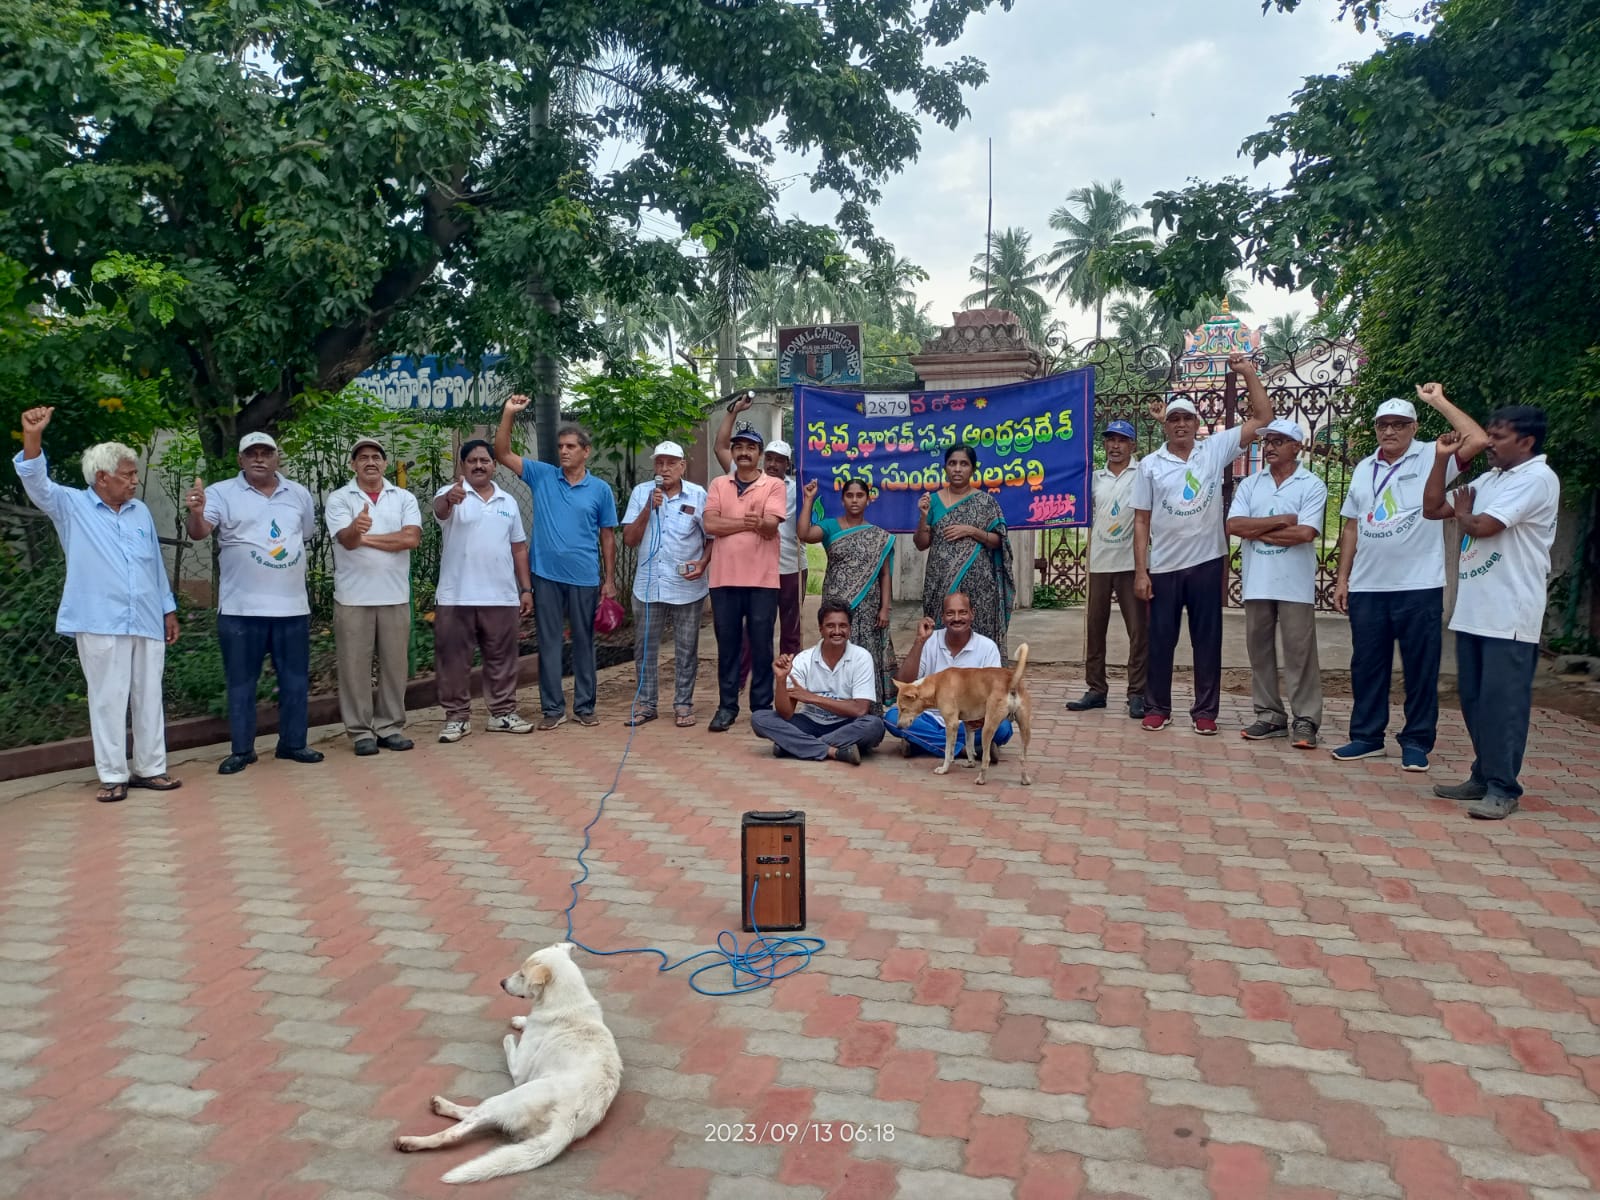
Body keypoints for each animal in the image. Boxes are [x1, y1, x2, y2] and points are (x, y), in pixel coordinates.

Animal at [394, 942, 621, 1184]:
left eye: (522, 975)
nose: (501, 982)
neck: (569, 1003)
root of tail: (570, 1118)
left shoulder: (520, 1071)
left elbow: (508, 1040)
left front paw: (515, 1031)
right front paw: (521, 1020)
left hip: (509, 1097)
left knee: (456, 1131)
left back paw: (412, 1141)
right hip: (509, 1108)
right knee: (475, 1115)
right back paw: (441, 1106)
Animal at [892, 643, 1032, 786]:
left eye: (903, 709)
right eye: (899, 708)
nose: (898, 726)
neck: (936, 685)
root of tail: (1011, 681)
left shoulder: (951, 724)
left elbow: (948, 751)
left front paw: (944, 769)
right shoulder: (968, 724)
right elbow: (969, 745)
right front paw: (970, 763)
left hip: (988, 727)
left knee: (986, 759)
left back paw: (981, 779)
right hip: (1025, 727)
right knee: (1022, 758)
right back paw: (1025, 780)